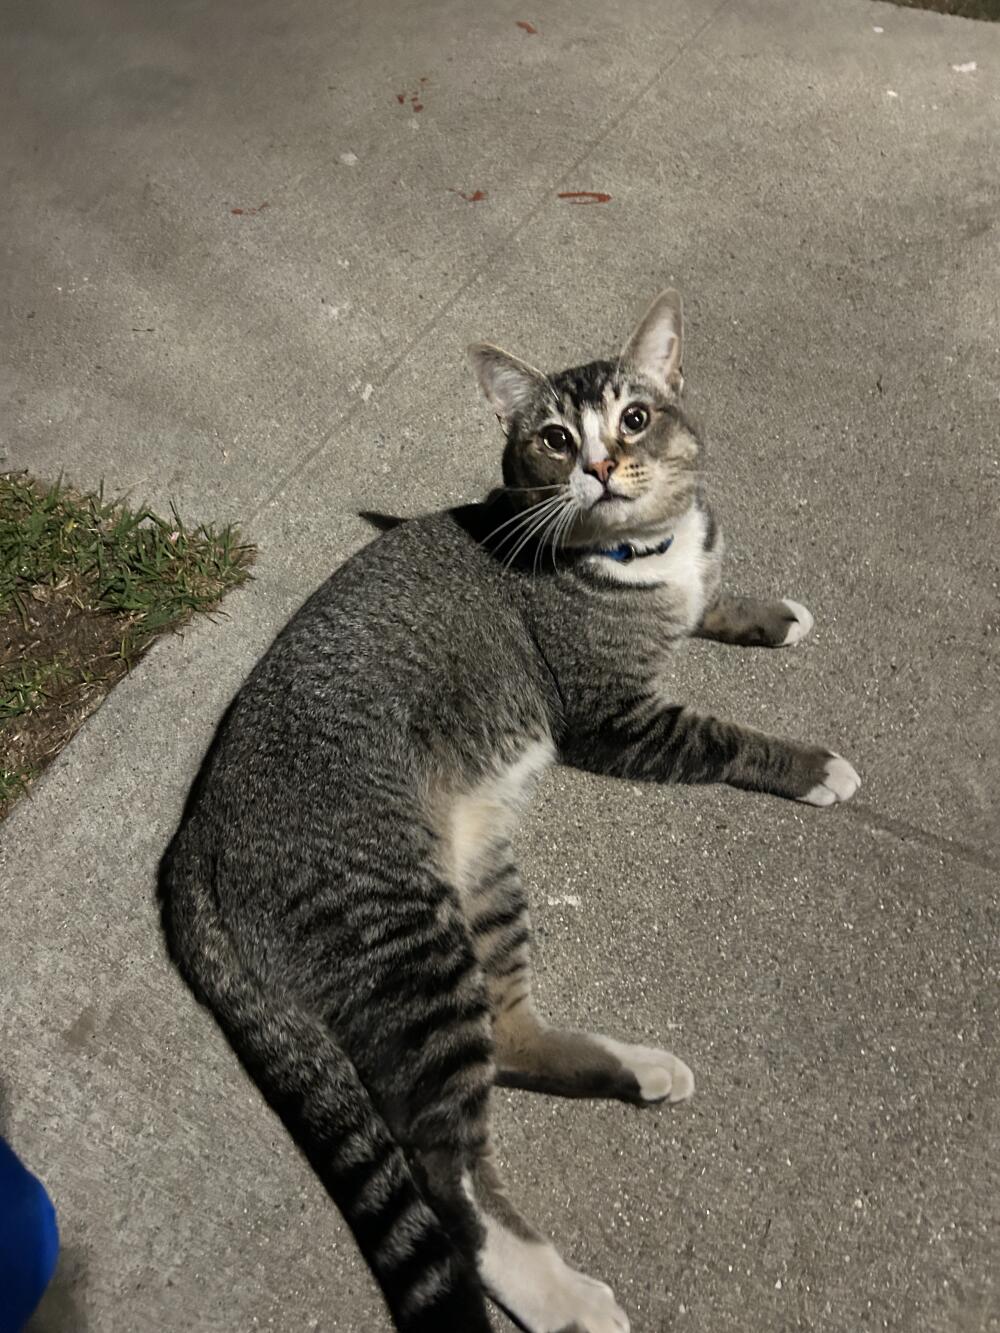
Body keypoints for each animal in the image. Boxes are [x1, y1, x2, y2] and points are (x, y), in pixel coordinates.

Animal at [162, 291, 864, 1333]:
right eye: (554, 438)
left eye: (635, 418)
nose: (602, 466)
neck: (636, 552)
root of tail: (192, 843)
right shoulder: (617, 719)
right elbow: (727, 738)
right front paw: (812, 763)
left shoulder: (683, 591)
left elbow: (709, 598)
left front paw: (765, 613)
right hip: (403, 929)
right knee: (442, 1164)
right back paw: (557, 1291)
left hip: (482, 875)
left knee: (508, 1040)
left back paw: (635, 1069)